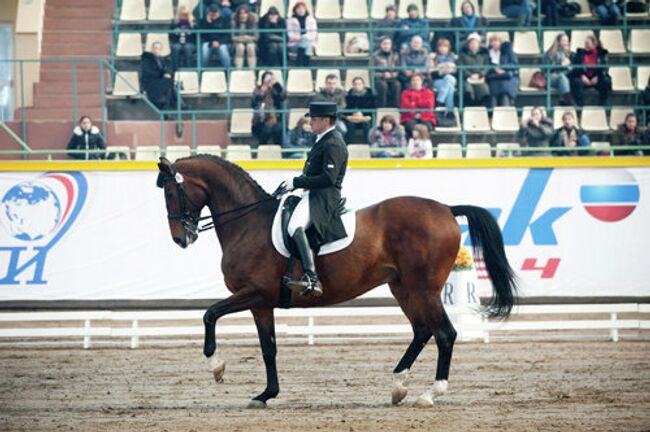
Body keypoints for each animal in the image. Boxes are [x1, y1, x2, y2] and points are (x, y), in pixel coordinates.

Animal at [154, 154, 512, 408]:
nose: (180, 239)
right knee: (423, 330)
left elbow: (209, 314)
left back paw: (429, 394)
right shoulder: (262, 303)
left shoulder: (253, 293)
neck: (249, 222)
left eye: (171, 191)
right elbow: (268, 347)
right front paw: (266, 394)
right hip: (403, 287)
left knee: (445, 333)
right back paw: (398, 386)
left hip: (424, 288)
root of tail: (446, 209)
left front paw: (217, 366)